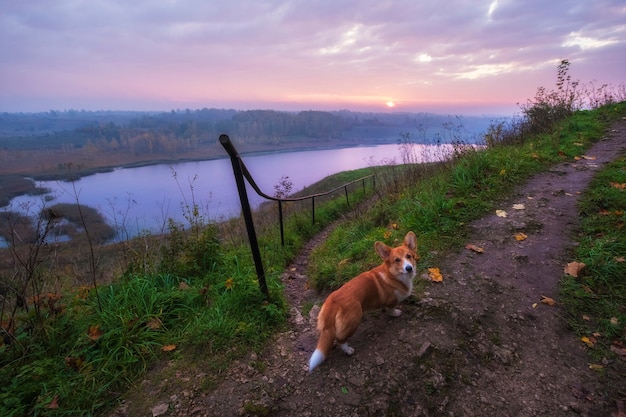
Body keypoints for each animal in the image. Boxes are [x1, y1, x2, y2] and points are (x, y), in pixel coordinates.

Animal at [306, 231, 416, 370]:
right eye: (397, 260)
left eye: (409, 256)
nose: (409, 268)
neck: (393, 275)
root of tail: (334, 302)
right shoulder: (391, 301)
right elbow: (391, 309)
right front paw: (396, 313)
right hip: (354, 319)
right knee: (340, 339)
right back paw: (348, 350)